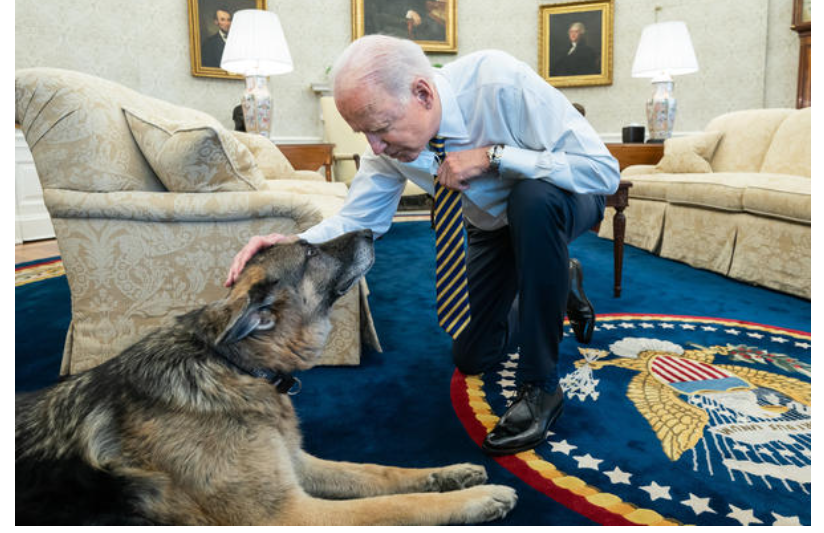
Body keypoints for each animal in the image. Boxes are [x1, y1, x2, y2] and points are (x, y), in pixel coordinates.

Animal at [14, 230, 516, 524]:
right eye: (310, 251)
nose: (371, 230)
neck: (233, 366)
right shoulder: (292, 514)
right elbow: (393, 505)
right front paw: (476, 500)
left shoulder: (296, 464)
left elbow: (379, 472)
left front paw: (448, 474)